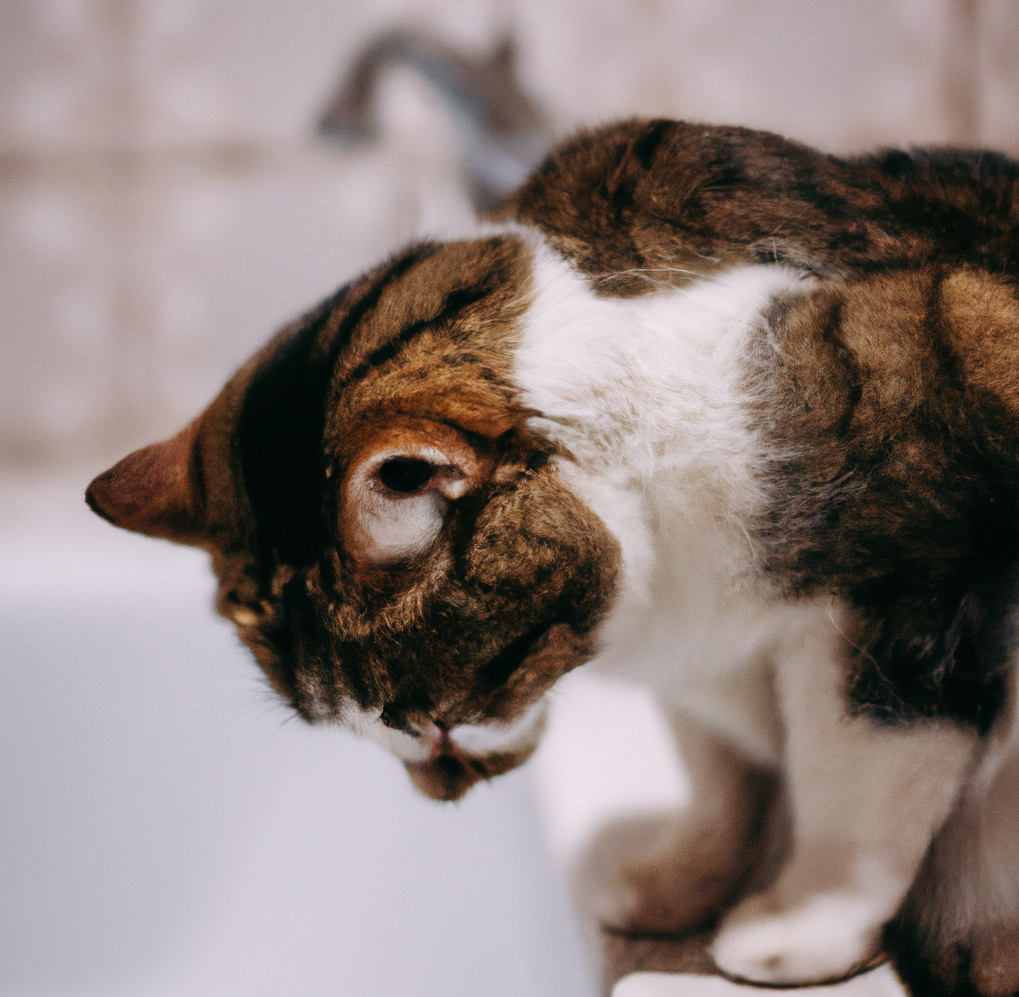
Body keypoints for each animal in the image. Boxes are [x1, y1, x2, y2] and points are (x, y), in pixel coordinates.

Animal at [85, 120, 1019, 990]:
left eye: (438, 716)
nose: (438, 787)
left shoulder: (904, 612)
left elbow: (848, 801)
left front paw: (796, 928)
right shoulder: (696, 669)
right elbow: (722, 777)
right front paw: (673, 885)